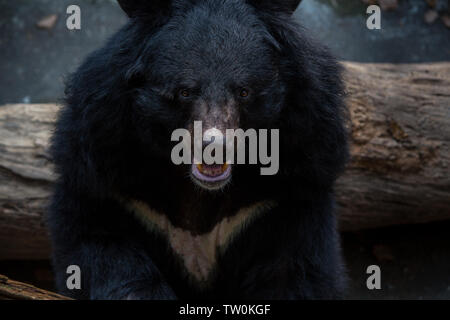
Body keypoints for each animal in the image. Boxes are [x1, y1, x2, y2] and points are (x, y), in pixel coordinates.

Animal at [49, 0, 350, 300]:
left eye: (244, 91)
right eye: (185, 92)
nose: (214, 147)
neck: (201, 193)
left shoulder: (291, 185)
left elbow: (297, 270)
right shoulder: (106, 173)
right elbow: (100, 247)